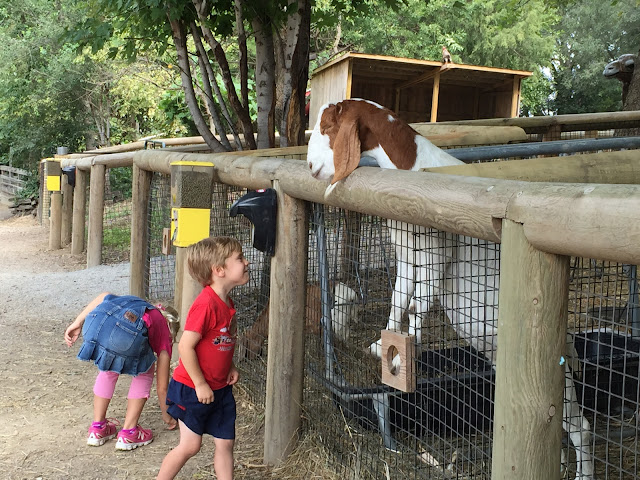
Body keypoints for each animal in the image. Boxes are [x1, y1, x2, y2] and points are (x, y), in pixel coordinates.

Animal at [307, 98, 594, 480]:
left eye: (327, 126)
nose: (310, 167)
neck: (412, 166)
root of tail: (567, 340)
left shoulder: (436, 251)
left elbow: (418, 304)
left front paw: (403, 354)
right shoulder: (407, 255)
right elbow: (399, 299)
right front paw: (382, 346)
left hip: (554, 375)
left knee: (580, 427)